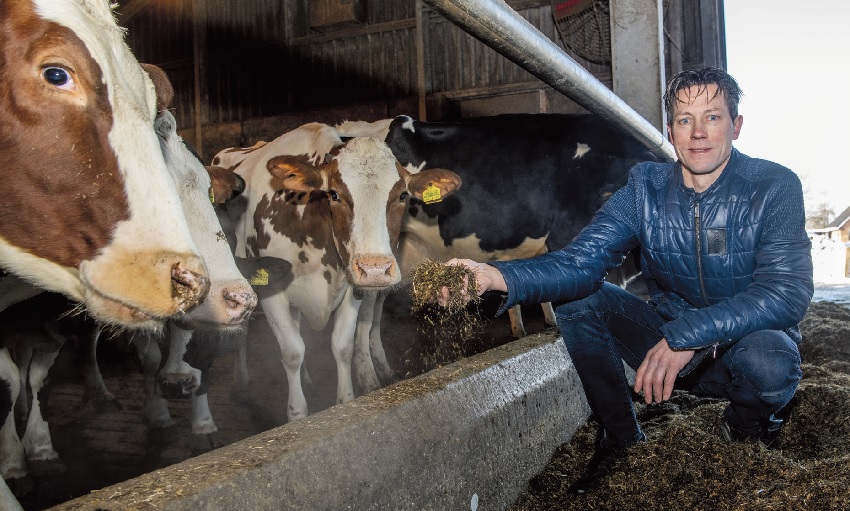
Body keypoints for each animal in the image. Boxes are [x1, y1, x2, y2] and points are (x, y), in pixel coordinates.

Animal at [215, 124, 460, 420]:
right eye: (334, 194)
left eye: (402, 195)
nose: (375, 269)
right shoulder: (271, 290)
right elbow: (292, 351)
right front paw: (297, 415)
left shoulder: (351, 288)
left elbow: (342, 346)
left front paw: (345, 401)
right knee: (243, 334)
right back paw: (240, 384)